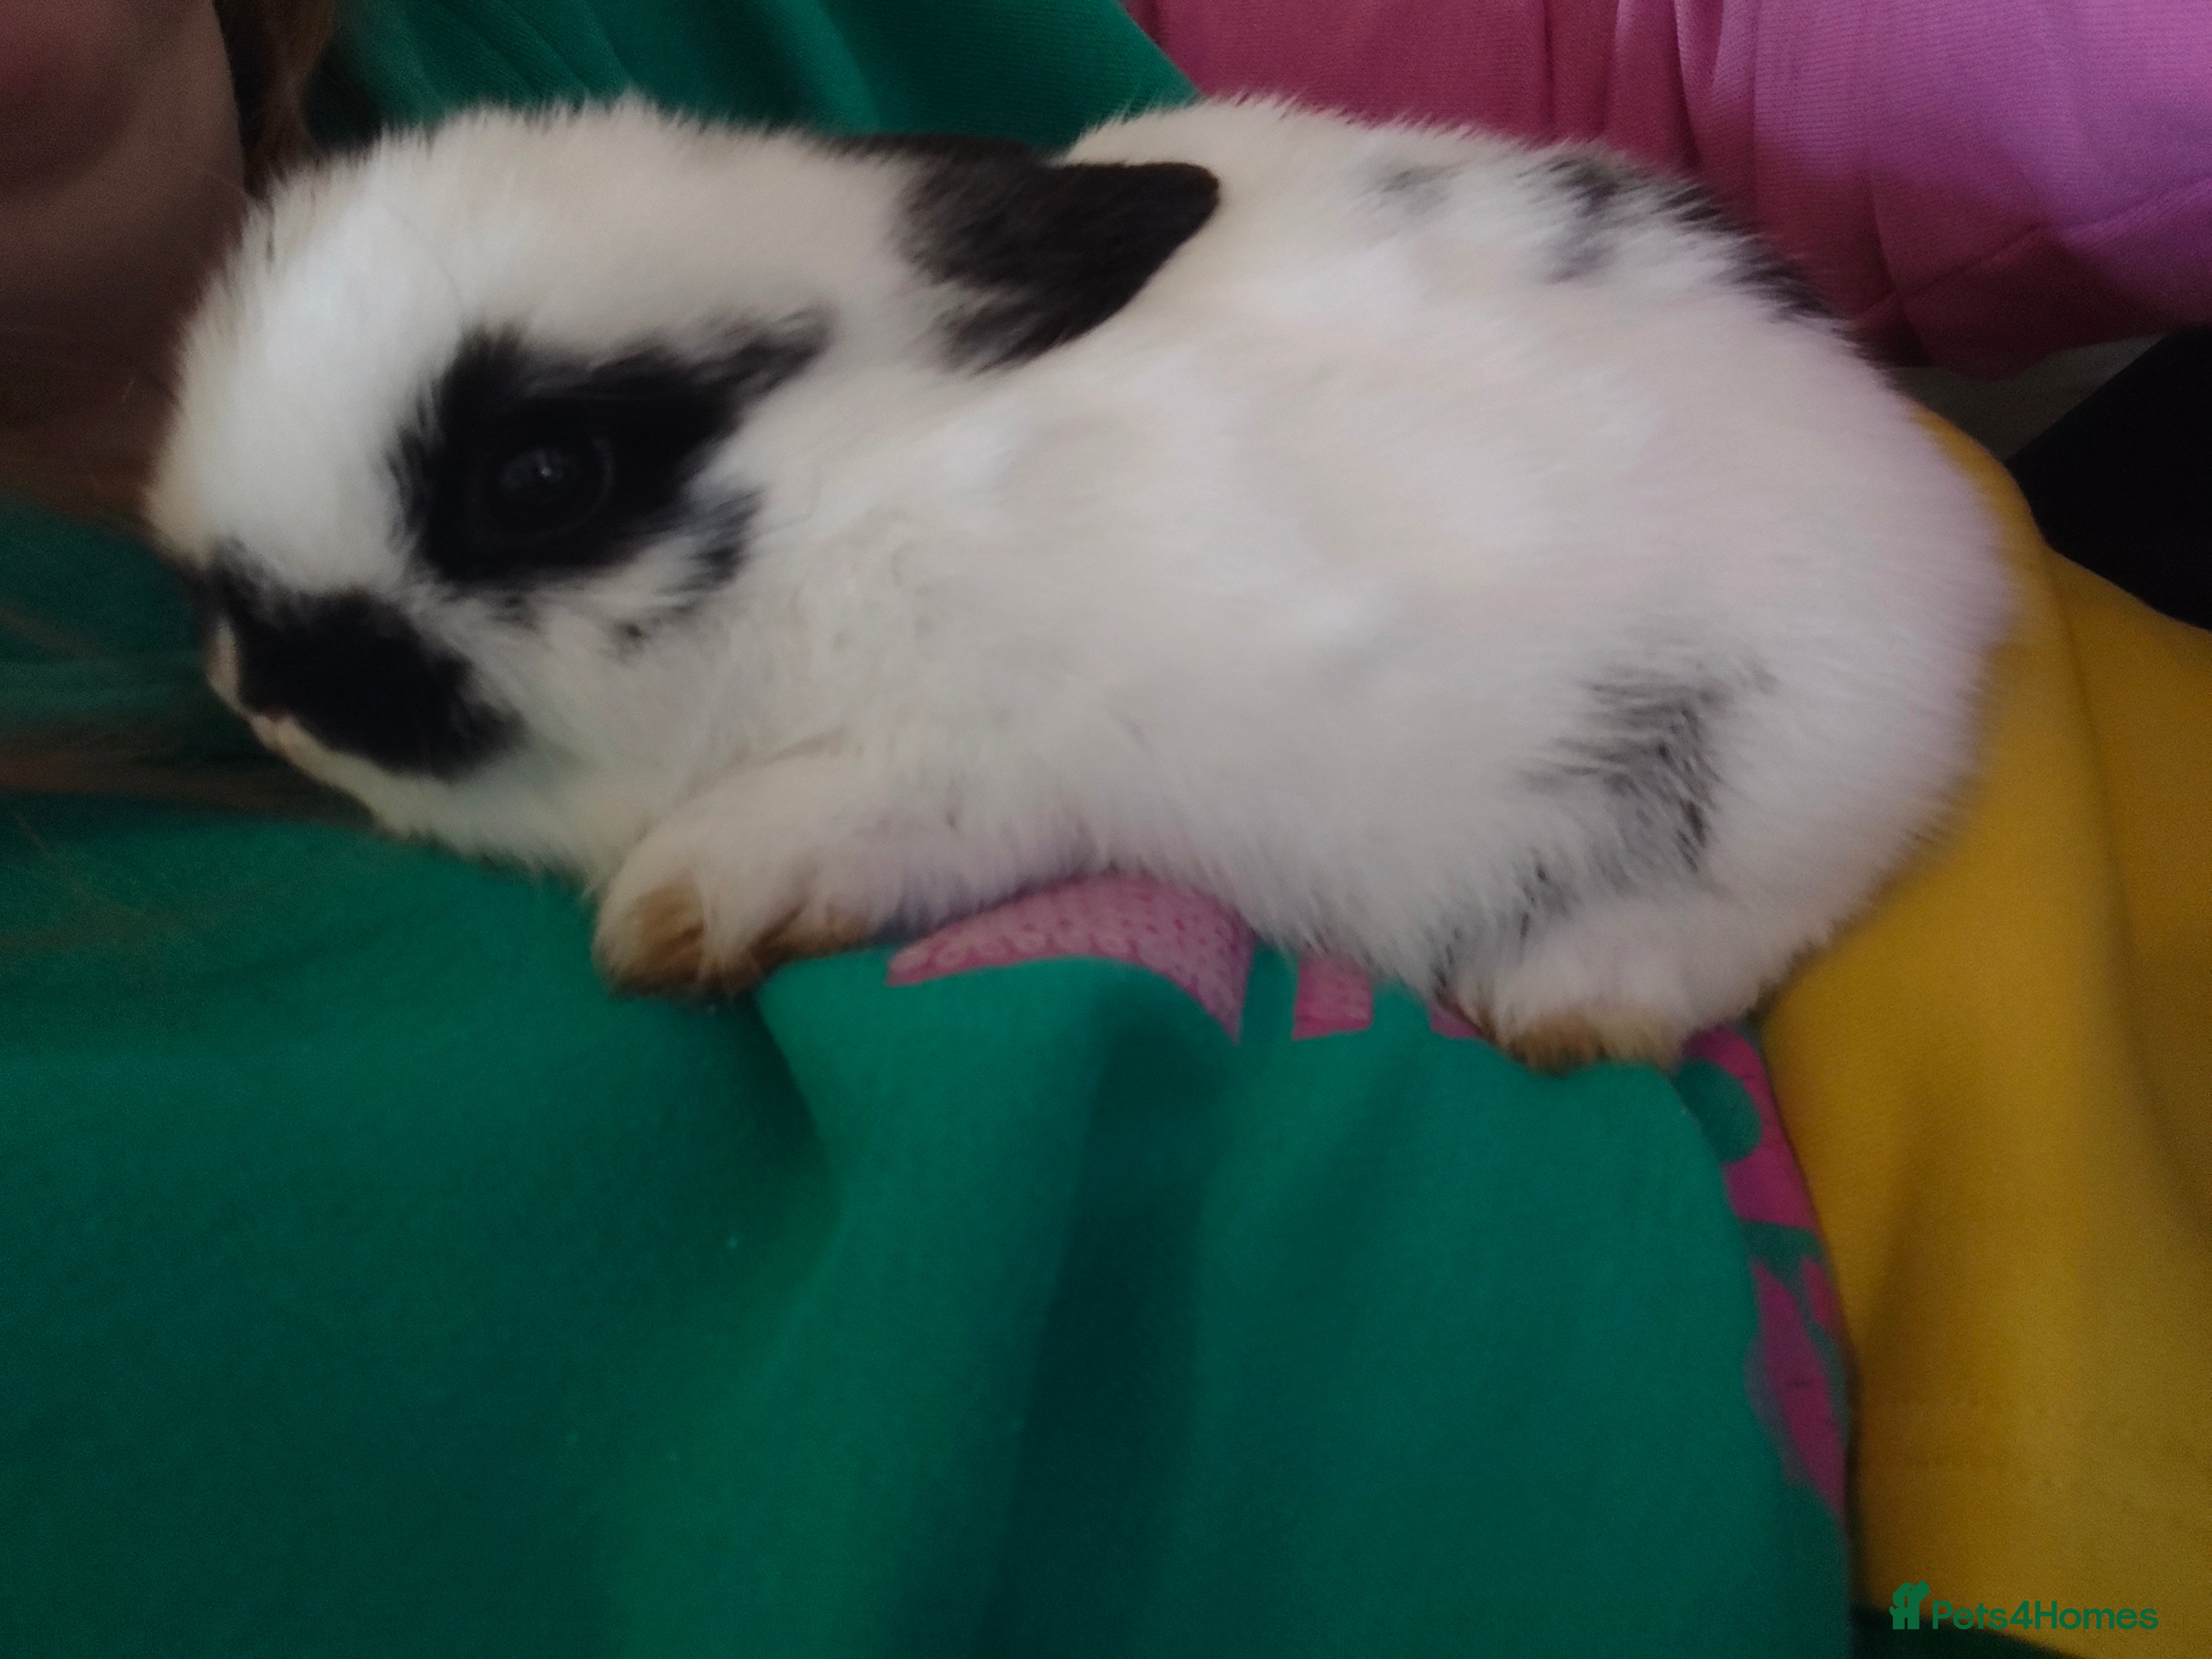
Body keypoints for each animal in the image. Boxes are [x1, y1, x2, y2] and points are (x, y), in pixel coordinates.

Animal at [144, 95, 2010, 1071]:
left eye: (542, 477)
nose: (264, 688)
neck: (855, 502)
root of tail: (1945, 547)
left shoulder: (999, 757)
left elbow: (823, 819)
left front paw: (686, 912)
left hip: (1769, 770)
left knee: (1768, 900)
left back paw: (1572, 993)